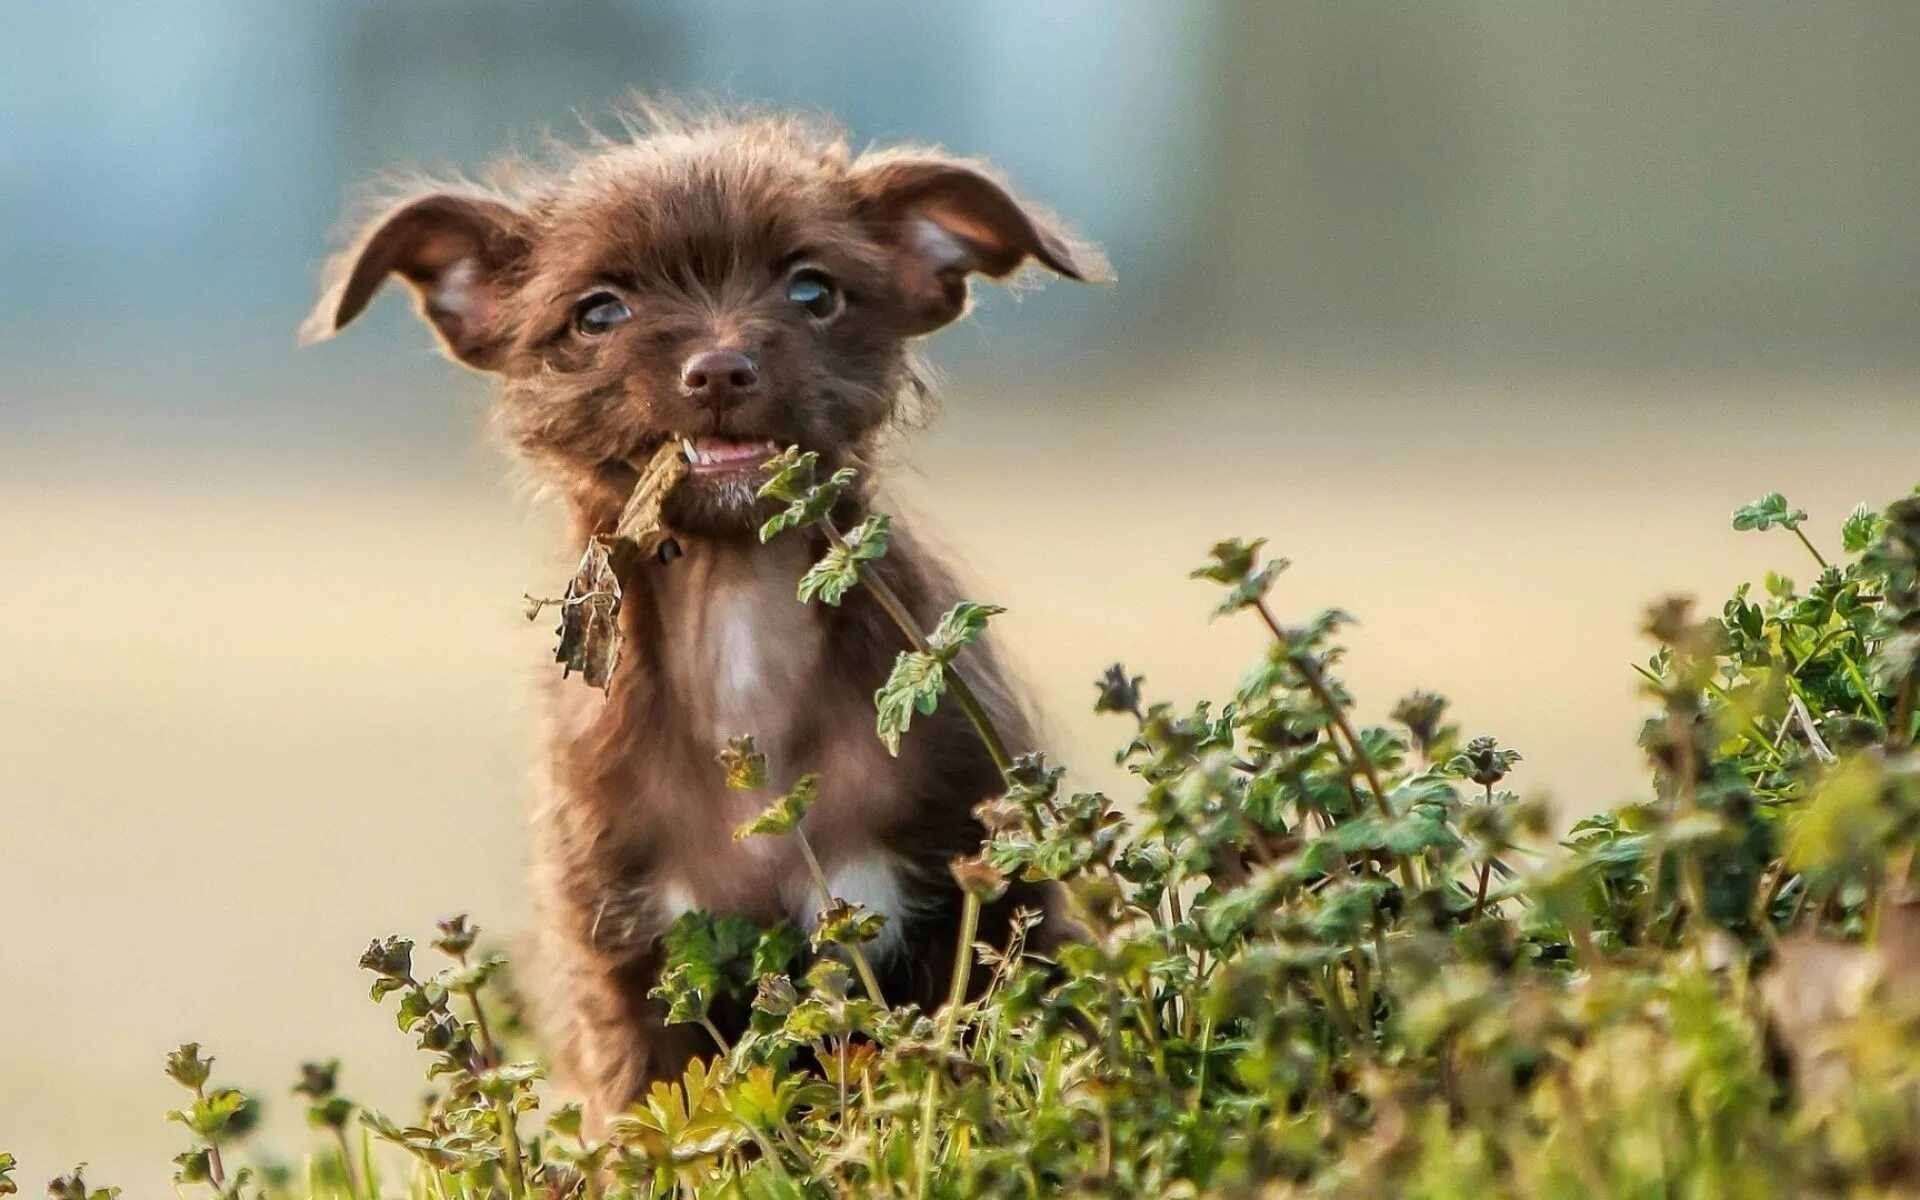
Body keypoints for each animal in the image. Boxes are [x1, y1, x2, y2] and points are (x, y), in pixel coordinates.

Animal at [307, 105, 1105, 1121]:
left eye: (813, 291)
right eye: (599, 312)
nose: (720, 367)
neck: (738, 621)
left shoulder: (983, 900)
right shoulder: (625, 961)